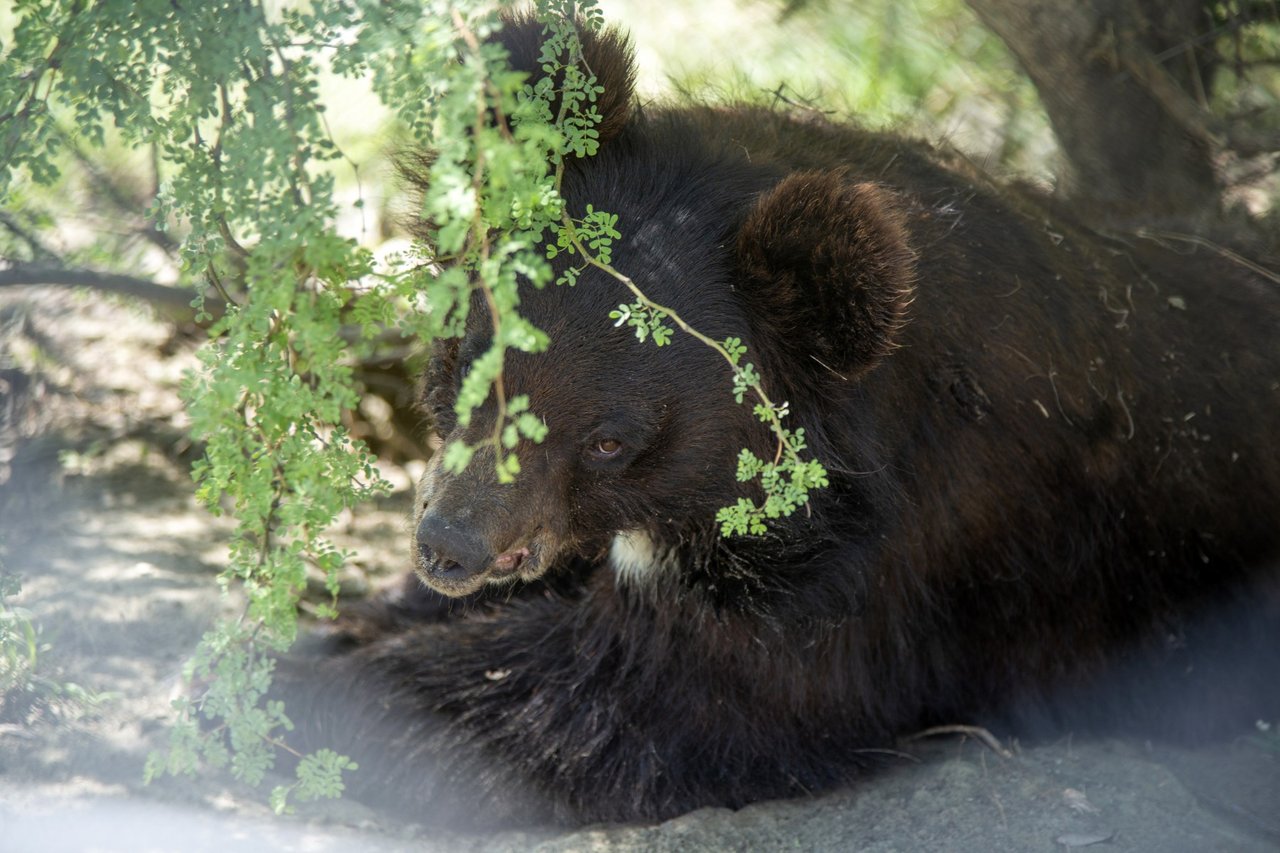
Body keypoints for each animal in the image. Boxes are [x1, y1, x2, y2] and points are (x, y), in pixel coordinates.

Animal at [277, 13, 1280, 824]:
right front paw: (348, 622)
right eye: (467, 365)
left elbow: (628, 701)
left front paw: (305, 691)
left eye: (610, 440)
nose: (447, 547)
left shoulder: (886, 572)